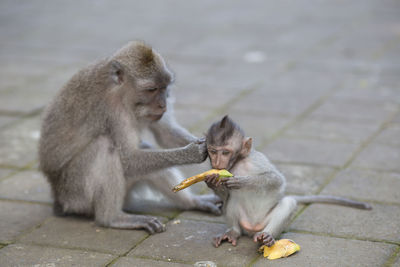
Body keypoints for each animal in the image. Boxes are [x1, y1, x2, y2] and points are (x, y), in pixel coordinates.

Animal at [39, 41, 220, 234]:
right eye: (152, 89)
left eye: (165, 87)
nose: (163, 104)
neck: (120, 92)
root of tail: (59, 199)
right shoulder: (113, 110)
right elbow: (128, 159)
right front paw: (192, 153)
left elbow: (165, 134)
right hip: (76, 194)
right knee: (104, 146)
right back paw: (112, 219)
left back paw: (191, 203)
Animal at [205, 116, 374, 249]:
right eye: (213, 151)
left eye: (225, 152)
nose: (217, 162)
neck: (238, 163)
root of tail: (252, 228)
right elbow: (225, 196)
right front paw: (212, 182)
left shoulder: (255, 160)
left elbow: (276, 180)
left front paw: (243, 181)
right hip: (244, 222)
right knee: (231, 202)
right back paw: (233, 232)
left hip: (265, 223)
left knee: (288, 202)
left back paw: (267, 236)